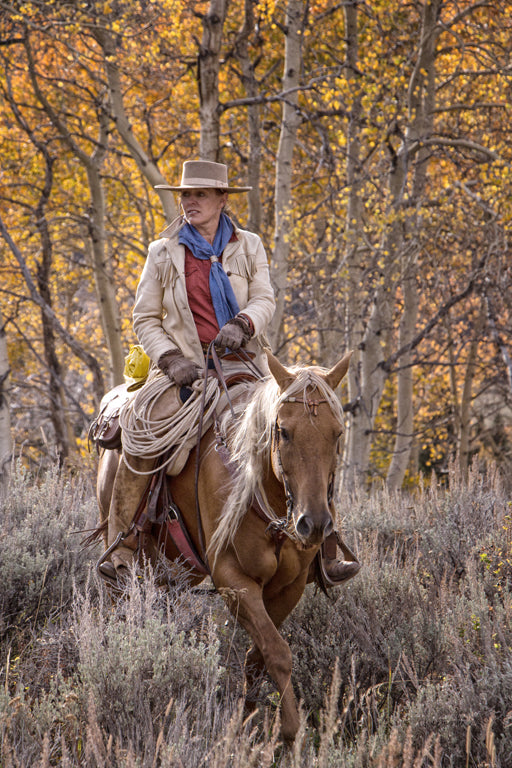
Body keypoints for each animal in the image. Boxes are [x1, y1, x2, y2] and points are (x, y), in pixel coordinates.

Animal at [96, 350, 352, 744]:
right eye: (283, 431)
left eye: (337, 433)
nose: (315, 524)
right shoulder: (235, 581)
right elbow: (277, 651)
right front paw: (291, 733)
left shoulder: (289, 587)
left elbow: (258, 657)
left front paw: (249, 722)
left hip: (175, 570)